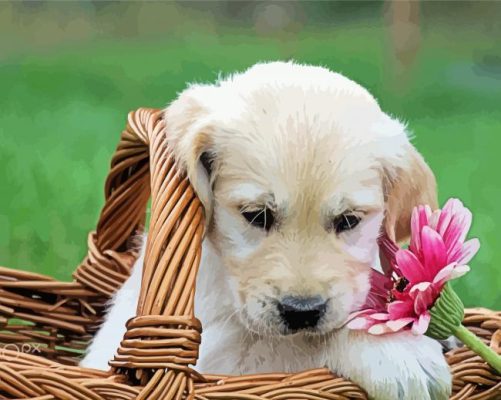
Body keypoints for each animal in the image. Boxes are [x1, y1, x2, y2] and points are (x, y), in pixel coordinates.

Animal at [82, 61, 450, 400]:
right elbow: (298, 345)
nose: (302, 311)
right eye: (257, 215)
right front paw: (396, 351)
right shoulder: (215, 360)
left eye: (348, 220)